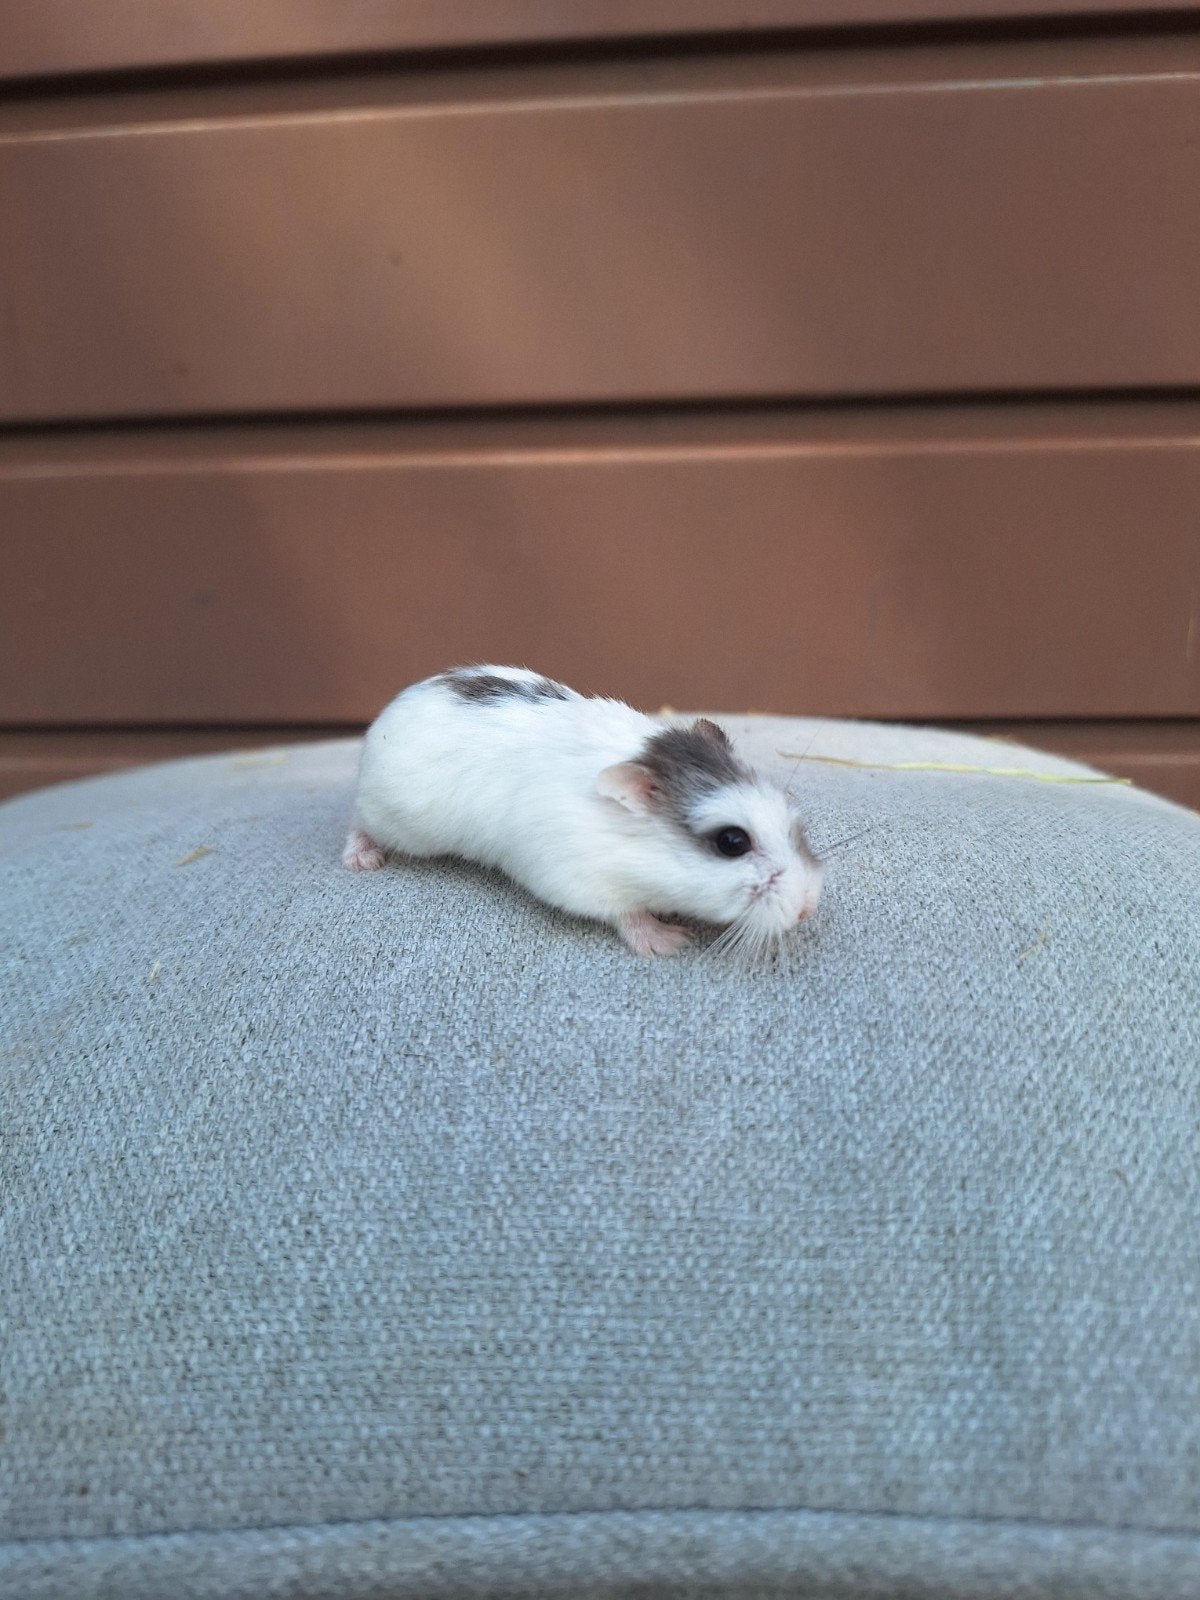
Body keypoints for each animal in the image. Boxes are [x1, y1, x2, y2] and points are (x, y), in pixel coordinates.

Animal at [343, 665, 822, 958]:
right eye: (731, 842)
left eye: (789, 811)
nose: (807, 909)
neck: (637, 848)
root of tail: (390, 712)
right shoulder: (579, 879)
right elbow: (626, 915)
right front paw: (669, 941)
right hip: (394, 821)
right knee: (358, 824)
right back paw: (362, 859)